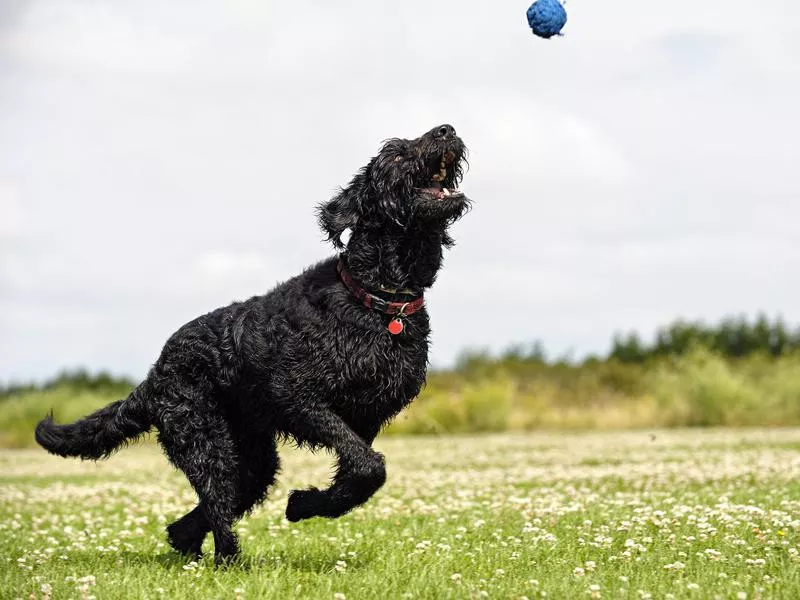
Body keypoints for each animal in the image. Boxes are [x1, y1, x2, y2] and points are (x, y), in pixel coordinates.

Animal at [36, 124, 468, 564]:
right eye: (395, 154)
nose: (446, 130)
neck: (378, 298)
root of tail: (154, 377)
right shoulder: (301, 398)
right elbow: (369, 467)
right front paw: (301, 504)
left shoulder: (366, 419)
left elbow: (361, 473)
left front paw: (306, 504)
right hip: (206, 443)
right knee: (216, 504)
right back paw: (227, 560)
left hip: (251, 457)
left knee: (202, 512)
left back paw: (187, 545)